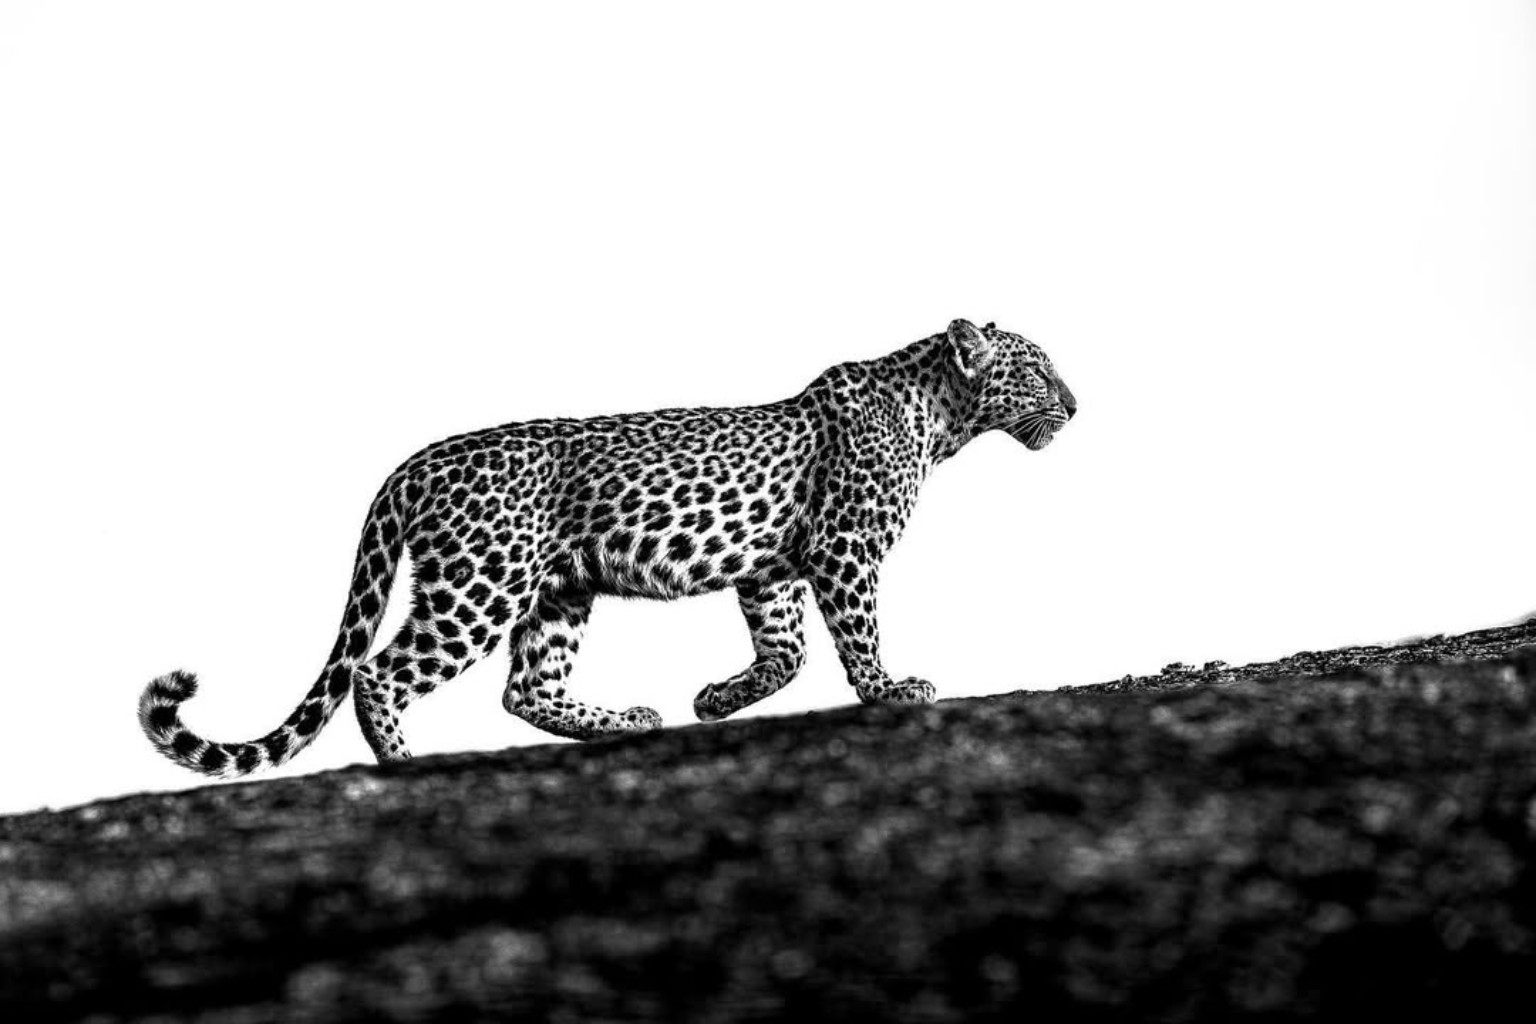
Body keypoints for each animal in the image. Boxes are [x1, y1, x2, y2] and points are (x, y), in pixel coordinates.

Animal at [140, 319, 1077, 777]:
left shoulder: (770, 570)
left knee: (525, 687)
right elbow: (853, 635)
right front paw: (891, 690)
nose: (1075, 404)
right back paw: (406, 767)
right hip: (481, 585)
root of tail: (415, 462)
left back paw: (624, 721)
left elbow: (787, 653)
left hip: (557, 591)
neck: (939, 416)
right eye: (1035, 371)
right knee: (380, 673)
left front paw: (716, 700)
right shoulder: (844, 549)